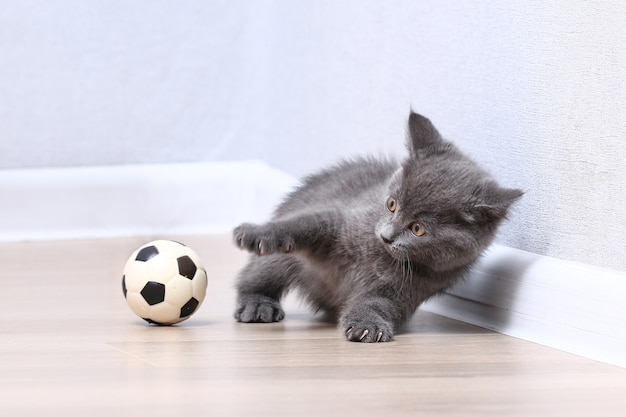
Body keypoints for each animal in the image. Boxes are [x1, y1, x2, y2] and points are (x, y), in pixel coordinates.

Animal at [232, 110, 520, 342]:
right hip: (281, 257)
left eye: (418, 229)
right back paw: (257, 304)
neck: (375, 255)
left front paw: (367, 325)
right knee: (260, 272)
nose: (386, 236)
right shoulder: (342, 219)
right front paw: (255, 233)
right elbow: (305, 223)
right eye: (392, 204)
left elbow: (375, 303)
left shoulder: (405, 290)